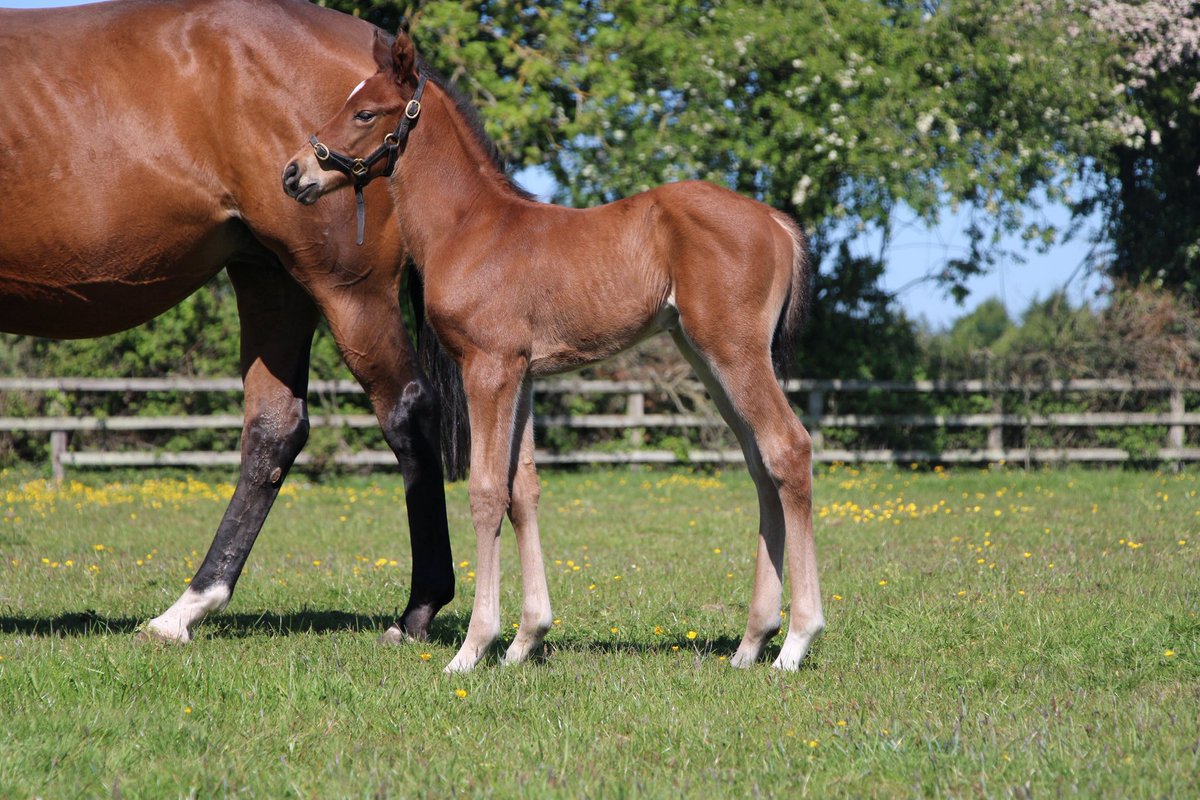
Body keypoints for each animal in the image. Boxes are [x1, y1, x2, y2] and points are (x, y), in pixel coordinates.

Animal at [0, 1, 464, 644]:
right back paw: (185, 610)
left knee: (407, 410)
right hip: (273, 281)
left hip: (349, 292)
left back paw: (418, 610)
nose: (297, 172)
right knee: (274, 430)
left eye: (366, 113)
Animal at [283, 29, 825, 672]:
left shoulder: (488, 368)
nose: (293, 173)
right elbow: (524, 491)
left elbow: (486, 491)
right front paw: (526, 640)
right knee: (761, 465)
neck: (471, 228)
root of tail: (774, 219)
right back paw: (751, 642)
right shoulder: (523, 373)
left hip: (735, 353)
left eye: (365, 112)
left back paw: (795, 641)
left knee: (789, 449)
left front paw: (473, 647)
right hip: (709, 360)